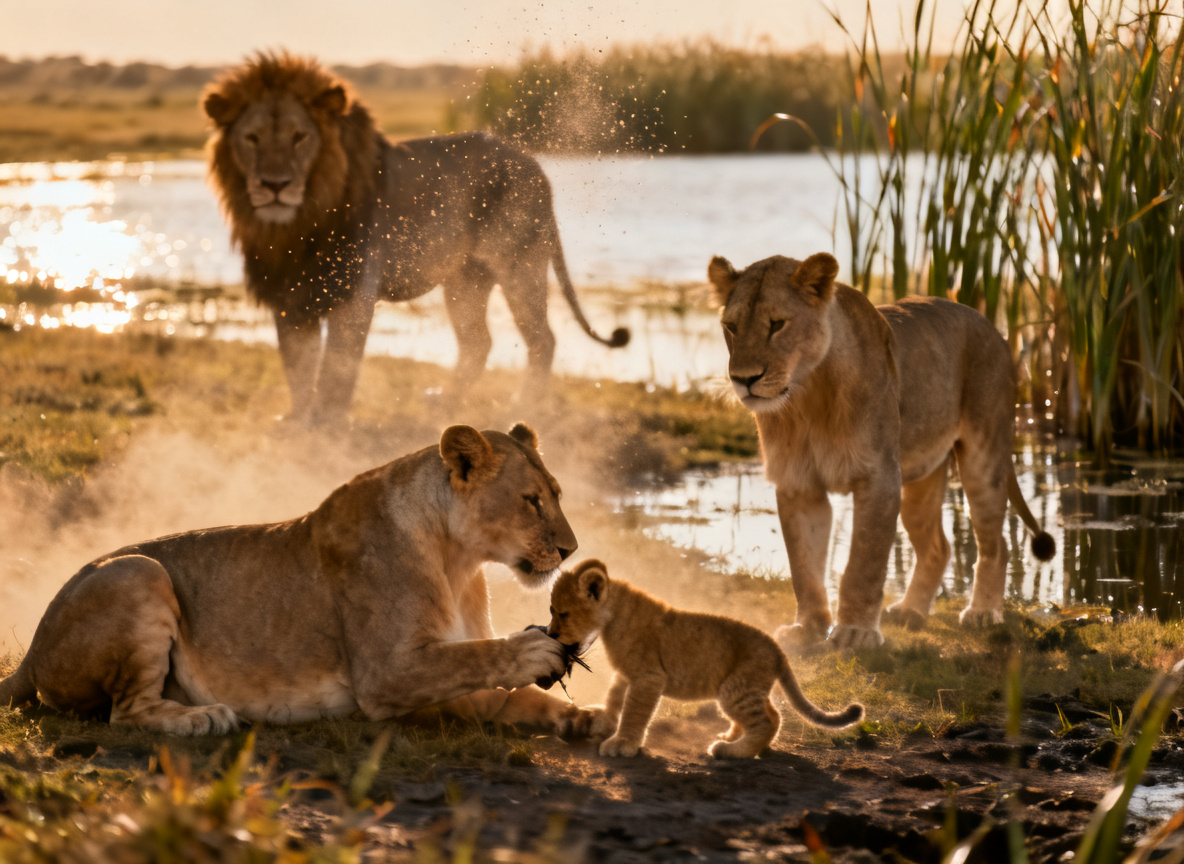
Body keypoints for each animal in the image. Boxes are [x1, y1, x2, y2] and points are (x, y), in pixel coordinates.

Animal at [0, 424, 596, 736]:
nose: (571, 549)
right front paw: (534, 651)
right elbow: (475, 658)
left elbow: (506, 697)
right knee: (124, 714)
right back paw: (205, 718)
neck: (459, 560)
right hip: (137, 570)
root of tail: (31, 649)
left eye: (557, 494)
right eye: (531, 501)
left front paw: (583, 718)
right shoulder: (384, 676)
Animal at [202, 53, 628, 424]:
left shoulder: (354, 288)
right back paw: (446, 403)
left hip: (520, 265)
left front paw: (326, 423)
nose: (274, 185)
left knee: (543, 340)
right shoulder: (289, 292)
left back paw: (521, 407)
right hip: (466, 279)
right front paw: (296, 419)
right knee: (479, 343)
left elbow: (337, 365)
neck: (297, 223)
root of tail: (535, 166)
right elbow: (297, 364)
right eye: (252, 139)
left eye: (299, 137)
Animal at [546, 559, 864, 758]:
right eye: (552, 610)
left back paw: (732, 751)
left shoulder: (649, 677)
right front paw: (603, 721)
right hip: (745, 688)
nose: (550, 633)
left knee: (768, 720)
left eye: (563, 613)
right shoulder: (627, 673)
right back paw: (732, 737)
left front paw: (623, 743)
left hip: (735, 688)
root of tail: (778, 649)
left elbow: (634, 711)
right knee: (770, 714)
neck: (611, 618)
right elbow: (614, 696)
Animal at [707, 253, 1056, 650]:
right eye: (731, 327)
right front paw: (808, 627)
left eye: (777, 324)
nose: (743, 379)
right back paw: (910, 611)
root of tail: (992, 327)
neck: (807, 396)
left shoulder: (879, 478)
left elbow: (864, 562)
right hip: (920, 479)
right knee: (939, 547)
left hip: (983, 456)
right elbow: (804, 566)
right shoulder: (798, 483)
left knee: (996, 543)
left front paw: (855, 632)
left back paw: (982, 612)